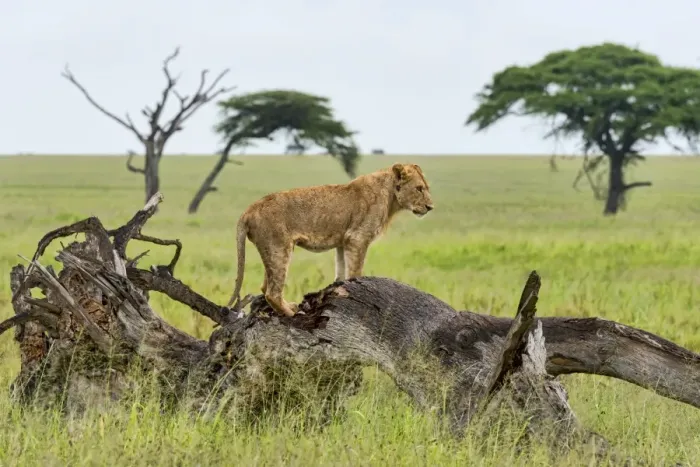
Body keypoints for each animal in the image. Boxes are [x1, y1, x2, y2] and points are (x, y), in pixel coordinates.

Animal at [225, 163, 435, 317]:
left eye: (426, 188)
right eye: (419, 189)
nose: (430, 207)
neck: (391, 197)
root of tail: (249, 209)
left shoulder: (344, 241)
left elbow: (341, 272)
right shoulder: (358, 238)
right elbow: (355, 271)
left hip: (273, 249)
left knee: (265, 286)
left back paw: (290, 307)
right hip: (279, 247)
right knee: (272, 292)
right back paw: (293, 314)